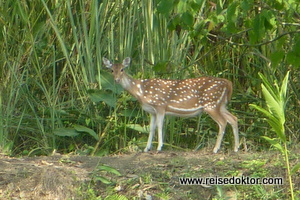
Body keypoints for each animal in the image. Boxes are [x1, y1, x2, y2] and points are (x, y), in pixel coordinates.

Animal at [103, 57, 239, 153]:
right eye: (111, 70)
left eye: (122, 69)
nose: (116, 80)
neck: (140, 91)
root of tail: (228, 83)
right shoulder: (151, 111)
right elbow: (151, 128)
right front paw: (147, 148)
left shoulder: (160, 105)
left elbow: (159, 126)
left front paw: (159, 147)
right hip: (221, 105)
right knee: (233, 118)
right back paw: (236, 148)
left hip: (211, 104)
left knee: (223, 122)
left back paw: (216, 149)